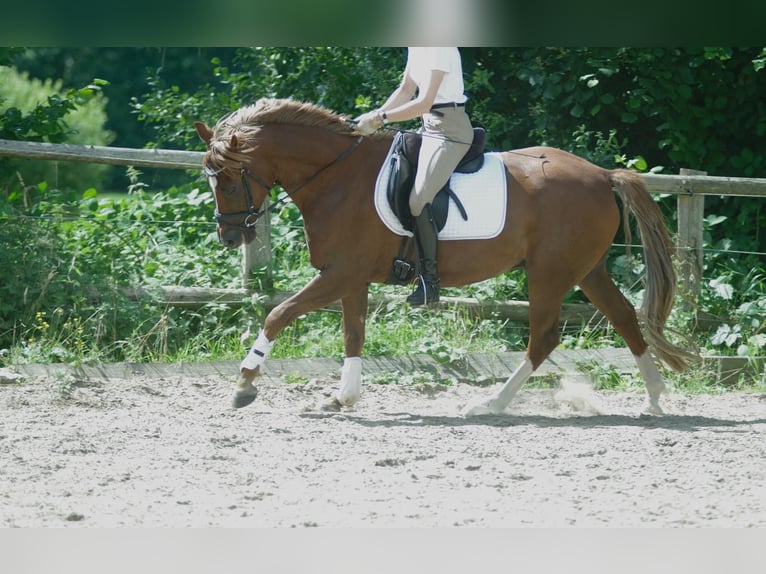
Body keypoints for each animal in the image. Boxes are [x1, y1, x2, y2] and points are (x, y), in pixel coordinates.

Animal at [195, 97, 700, 416]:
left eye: (229, 180)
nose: (228, 235)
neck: (336, 177)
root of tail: (600, 174)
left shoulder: (340, 273)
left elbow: (278, 314)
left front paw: (244, 384)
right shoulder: (350, 278)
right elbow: (353, 335)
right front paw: (343, 398)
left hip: (550, 273)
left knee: (544, 338)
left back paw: (490, 404)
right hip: (586, 270)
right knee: (625, 318)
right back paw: (655, 398)